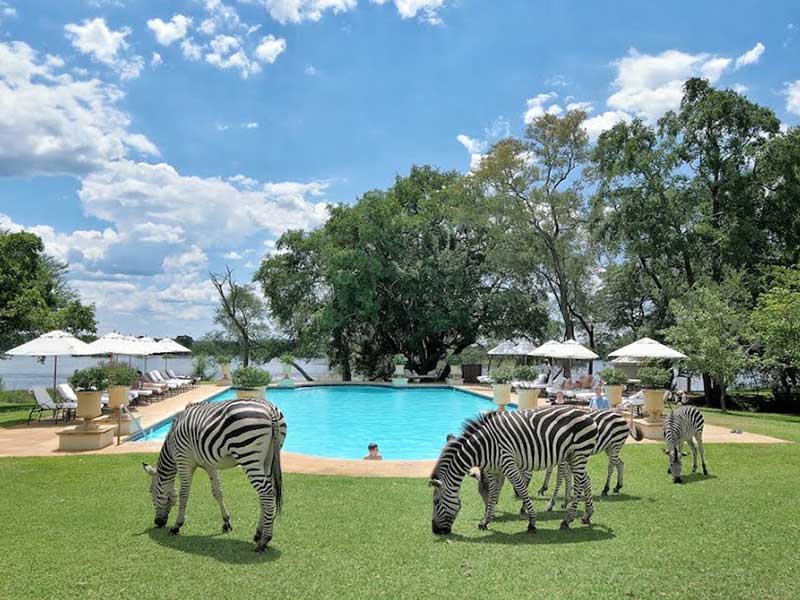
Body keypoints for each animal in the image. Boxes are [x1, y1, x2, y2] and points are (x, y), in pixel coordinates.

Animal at [142, 398, 286, 552]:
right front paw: (226, 523)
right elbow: (218, 492)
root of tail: (269, 407)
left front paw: (177, 525)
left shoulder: (184, 461)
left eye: (150, 491)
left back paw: (264, 540)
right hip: (268, 459)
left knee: (266, 493)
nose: (157, 523)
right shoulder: (210, 465)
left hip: (248, 455)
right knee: (266, 494)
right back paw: (258, 533)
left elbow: (183, 494)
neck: (171, 445)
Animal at [429, 407, 597, 535]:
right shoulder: (493, 470)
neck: (482, 449)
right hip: (572, 457)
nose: (435, 531)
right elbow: (494, 494)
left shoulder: (508, 463)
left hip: (579, 454)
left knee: (580, 484)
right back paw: (587, 514)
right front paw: (486, 521)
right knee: (586, 479)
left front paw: (532, 523)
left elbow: (521, 489)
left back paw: (567, 520)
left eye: (435, 501)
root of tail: (585, 412)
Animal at [472, 409, 643, 514]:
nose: (488, 508)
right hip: (609, 447)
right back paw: (617, 486)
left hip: (614, 445)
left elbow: (558, 476)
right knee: (620, 463)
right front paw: (564, 495)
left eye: (486, 489)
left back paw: (606, 488)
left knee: (611, 465)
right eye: (480, 491)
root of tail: (621, 417)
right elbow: (562, 475)